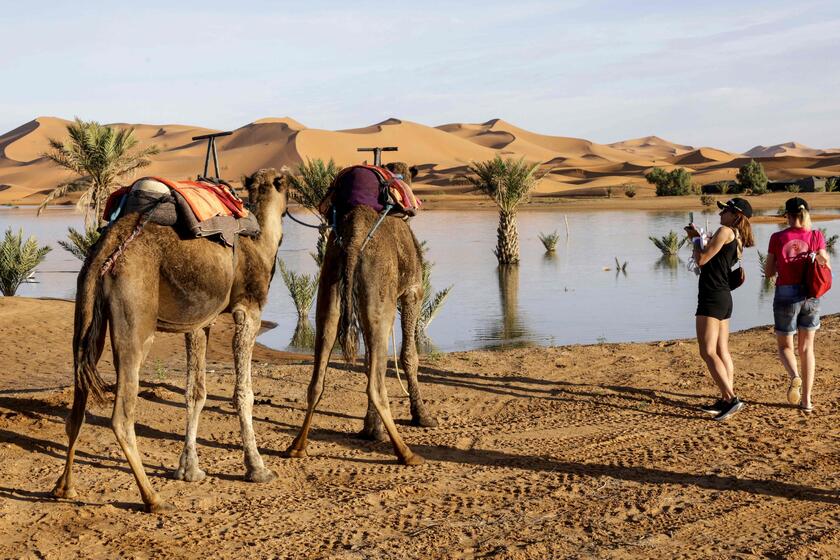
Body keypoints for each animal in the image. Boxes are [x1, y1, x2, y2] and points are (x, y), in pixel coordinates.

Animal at [53, 167, 288, 512]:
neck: (261, 242)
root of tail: (106, 249)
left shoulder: (200, 321)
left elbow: (195, 392)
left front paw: (189, 469)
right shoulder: (249, 309)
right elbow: (243, 393)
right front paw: (257, 468)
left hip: (85, 312)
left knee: (78, 404)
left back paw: (65, 488)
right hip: (135, 316)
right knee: (121, 416)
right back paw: (153, 498)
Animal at [288, 164, 436, 466]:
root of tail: (354, 239)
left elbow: (370, 361)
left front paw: (371, 428)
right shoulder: (413, 291)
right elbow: (409, 356)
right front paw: (421, 416)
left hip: (330, 289)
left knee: (317, 380)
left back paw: (297, 446)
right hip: (380, 299)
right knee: (376, 386)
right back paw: (406, 453)